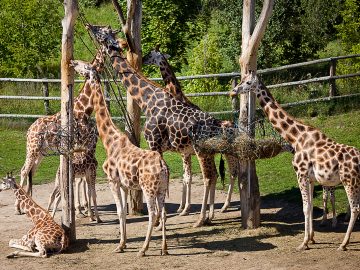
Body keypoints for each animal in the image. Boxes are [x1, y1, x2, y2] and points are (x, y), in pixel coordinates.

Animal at [71, 58, 170, 256]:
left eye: (83, 65)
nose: (71, 62)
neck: (109, 141)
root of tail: (163, 166)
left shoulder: (113, 180)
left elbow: (118, 211)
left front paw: (119, 245)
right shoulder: (124, 184)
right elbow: (124, 211)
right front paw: (123, 243)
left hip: (148, 187)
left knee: (153, 213)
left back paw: (143, 249)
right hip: (161, 188)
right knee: (162, 213)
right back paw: (164, 248)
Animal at [143, 47, 239, 214]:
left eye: (150, 54)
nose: (142, 60)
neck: (179, 97)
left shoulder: (185, 152)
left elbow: (188, 178)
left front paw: (185, 208)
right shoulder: (186, 152)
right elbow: (185, 177)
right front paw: (181, 207)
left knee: (231, 173)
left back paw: (224, 206)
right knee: (235, 172)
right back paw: (224, 206)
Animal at [231, 70, 360, 250]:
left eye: (248, 83)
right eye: (242, 79)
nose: (233, 91)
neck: (296, 137)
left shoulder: (301, 174)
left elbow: (306, 208)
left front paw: (304, 243)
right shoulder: (311, 178)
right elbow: (310, 206)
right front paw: (311, 238)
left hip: (350, 181)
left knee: (355, 208)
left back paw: (343, 244)